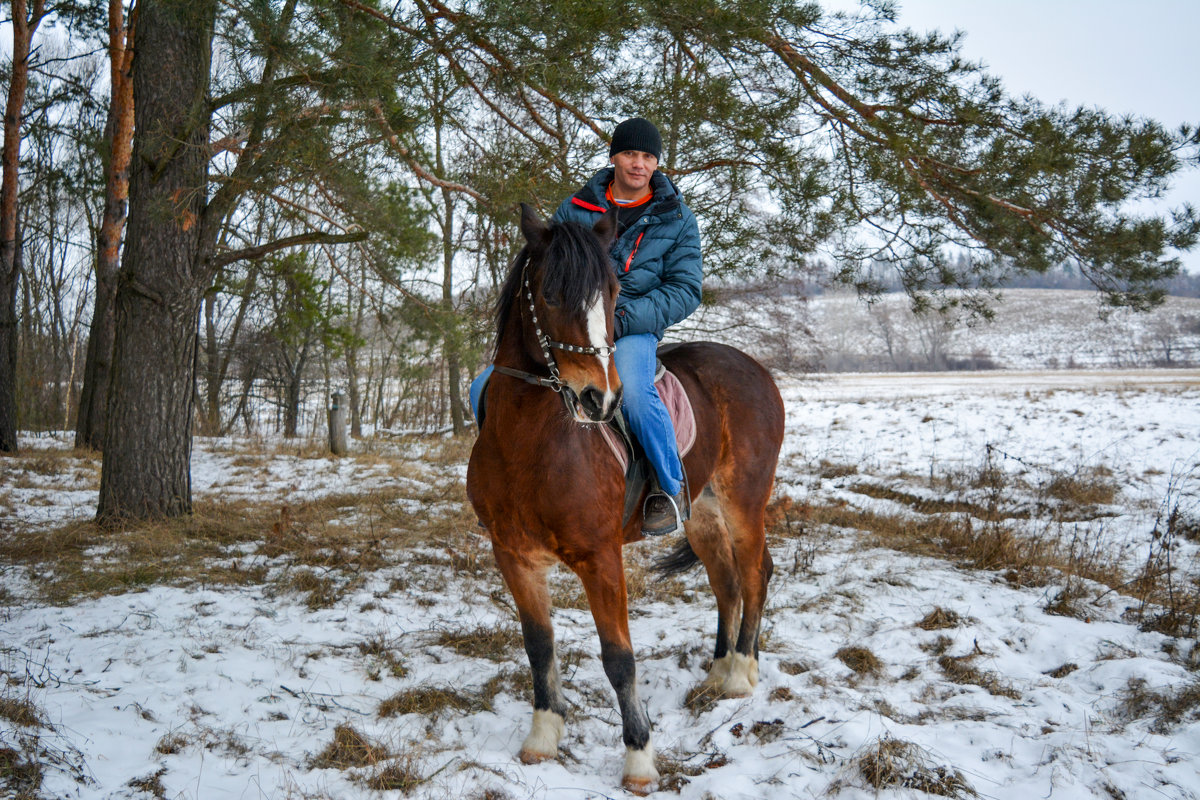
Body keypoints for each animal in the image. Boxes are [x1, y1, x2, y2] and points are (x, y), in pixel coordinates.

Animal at [463, 205, 782, 796]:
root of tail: (754, 369)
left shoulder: (601, 559)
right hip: (701, 512)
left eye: (613, 293)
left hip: (743, 503)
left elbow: (619, 659)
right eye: (548, 294)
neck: (531, 443)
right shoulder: (514, 555)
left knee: (754, 574)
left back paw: (741, 677)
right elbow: (538, 645)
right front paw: (543, 737)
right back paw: (717, 672)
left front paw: (638, 760)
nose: (599, 399)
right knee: (726, 581)